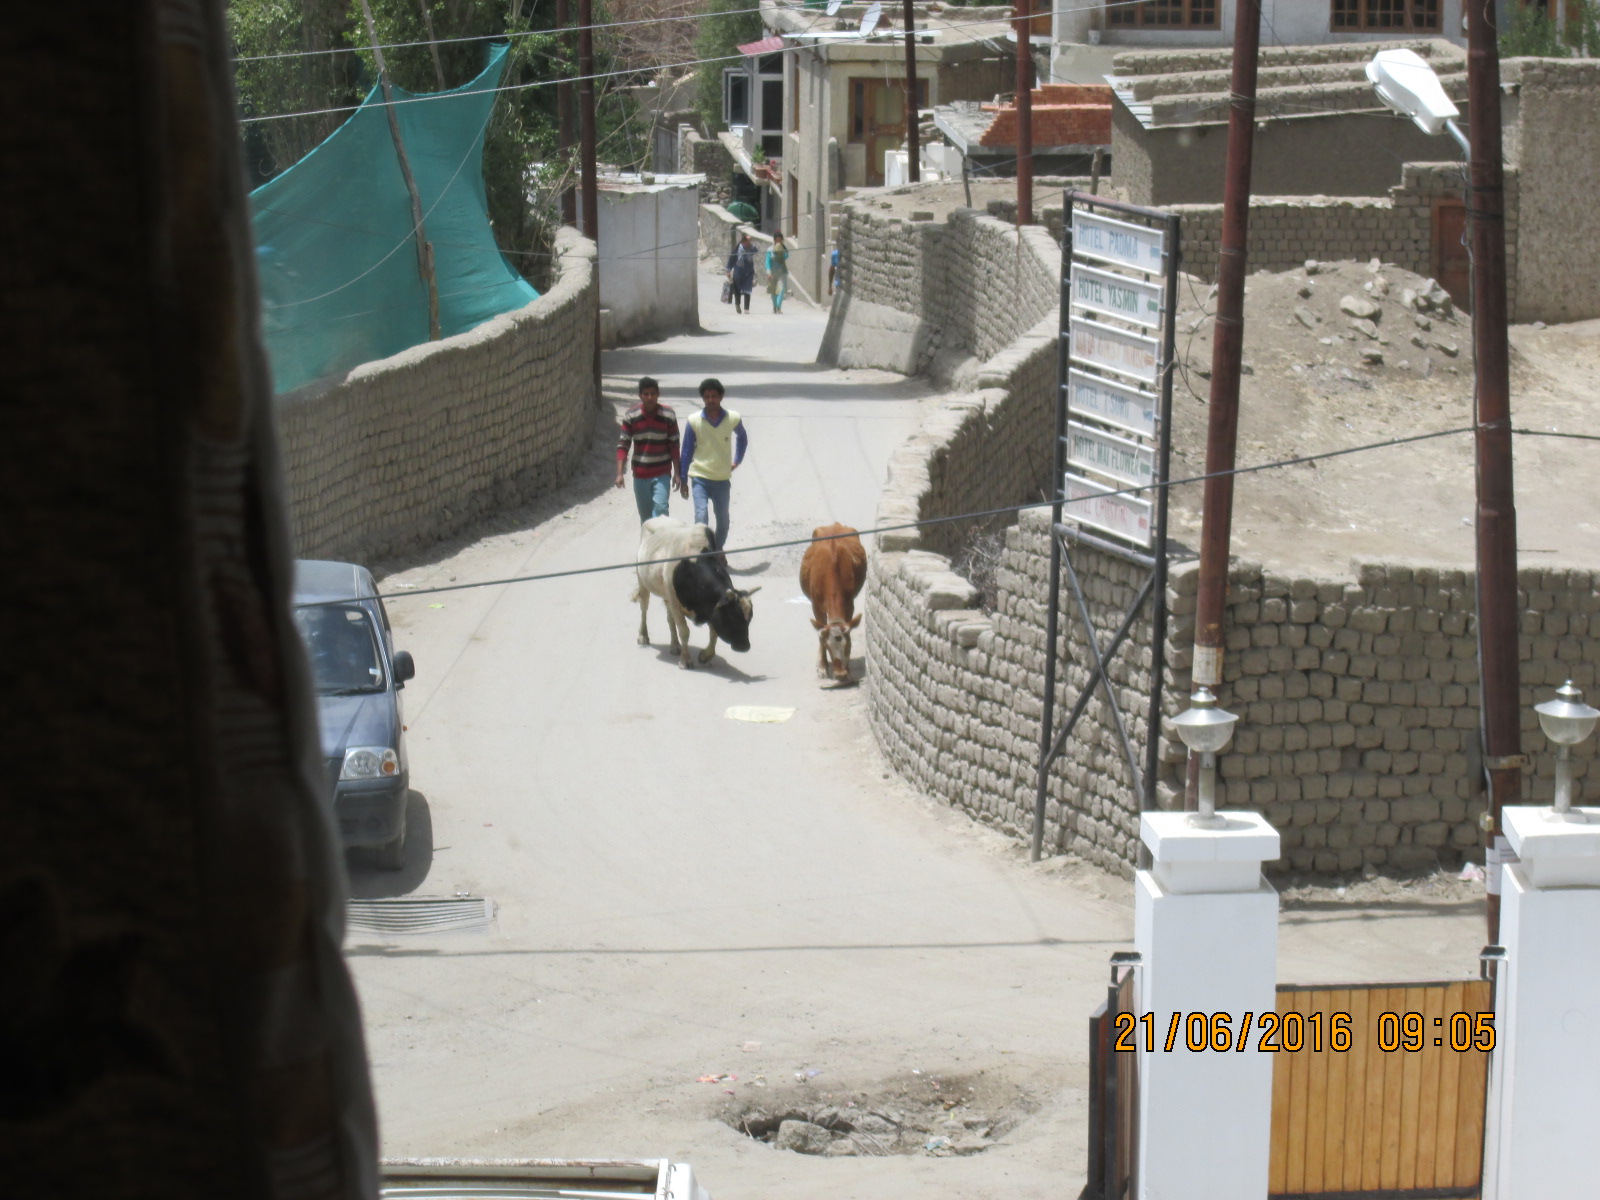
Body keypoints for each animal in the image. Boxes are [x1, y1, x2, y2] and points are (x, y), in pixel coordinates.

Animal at [633, 518, 758, 668]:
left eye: (750, 617)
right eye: (731, 615)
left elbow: (714, 632)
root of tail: (656, 518)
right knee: (644, 608)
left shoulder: (711, 608)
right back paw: (643, 636)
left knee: (669, 619)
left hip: (666, 595)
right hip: (642, 582)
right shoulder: (676, 604)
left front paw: (705, 655)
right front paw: (686, 660)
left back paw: (675, 645)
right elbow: (684, 631)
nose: (744, 646)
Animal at [796, 521, 864, 681]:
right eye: (828, 647)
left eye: (848, 645)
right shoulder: (816, 605)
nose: (840, 674)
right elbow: (821, 633)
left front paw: (848, 668)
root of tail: (835, 524)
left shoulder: (849, 603)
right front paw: (822, 666)